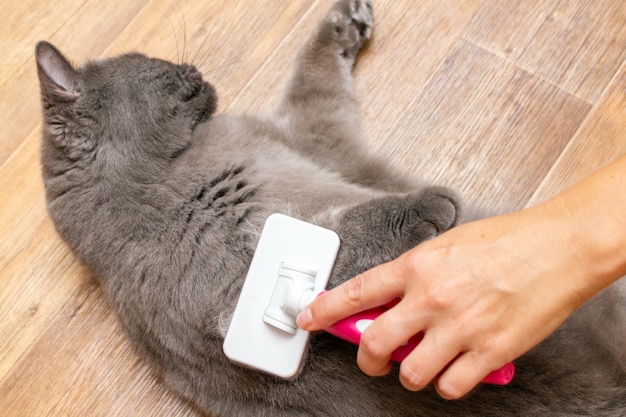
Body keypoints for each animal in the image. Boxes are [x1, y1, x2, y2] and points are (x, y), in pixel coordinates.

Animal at [35, 0, 624, 416]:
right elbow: (331, 249)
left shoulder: (309, 136)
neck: (168, 177)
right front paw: (429, 208)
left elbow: (313, 76)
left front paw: (345, 21)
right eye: (154, 64)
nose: (193, 67)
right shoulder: (221, 295)